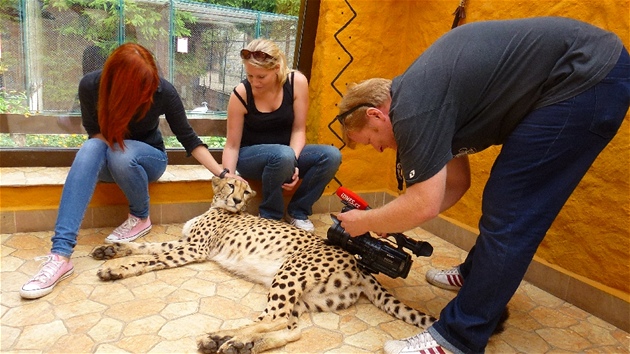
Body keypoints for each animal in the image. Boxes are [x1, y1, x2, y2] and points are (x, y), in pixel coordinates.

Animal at [91, 177, 440, 354]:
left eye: (246, 191)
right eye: (232, 186)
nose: (236, 200)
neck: (220, 207)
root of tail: (357, 261)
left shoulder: (194, 249)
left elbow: (150, 258)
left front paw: (117, 269)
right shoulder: (184, 243)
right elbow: (144, 247)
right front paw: (109, 251)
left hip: (289, 272)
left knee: (275, 317)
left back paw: (225, 339)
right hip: (308, 298)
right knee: (292, 328)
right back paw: (239, 343)